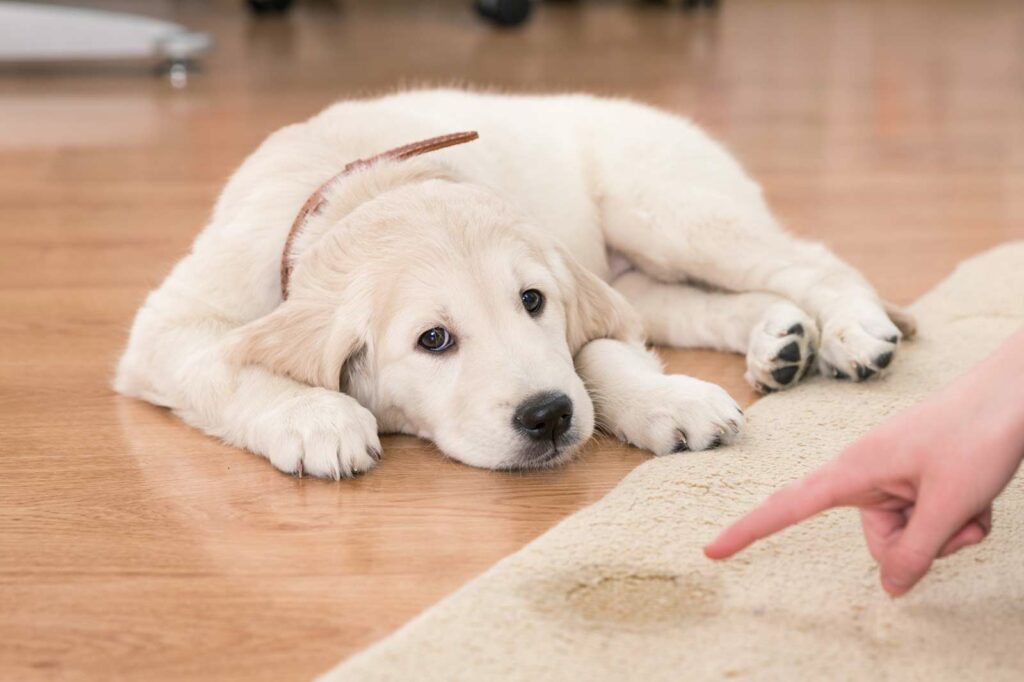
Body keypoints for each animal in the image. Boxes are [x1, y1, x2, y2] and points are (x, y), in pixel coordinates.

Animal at [116, 87, 917, 475]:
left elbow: (598, 353)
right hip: (644, 269)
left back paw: (851, 332)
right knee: (704, 305)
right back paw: (780, 340)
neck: (363, 183)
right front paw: (316, 419)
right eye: (433, 340)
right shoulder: (169, 328)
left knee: (809, 260)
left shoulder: (579, 293)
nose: (548, 417)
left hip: (666, 209)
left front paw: (665, 400)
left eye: (533, 302)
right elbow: (224, 366)